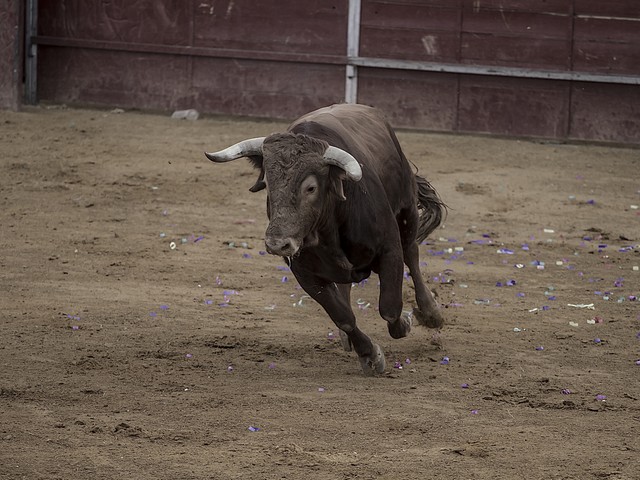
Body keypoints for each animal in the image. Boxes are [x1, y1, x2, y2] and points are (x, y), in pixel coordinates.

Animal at [205, 104, 444, 376]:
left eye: (310, 188)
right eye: (267, 184)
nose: (277, 244)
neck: (330, 224)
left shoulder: (389, 249)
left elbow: (390, 308)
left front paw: (405, 322)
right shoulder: (305, 273)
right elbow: (343, 317)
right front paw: (369, 355)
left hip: (407, 210)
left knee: (412, 253)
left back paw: (431, 312)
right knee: (346, 285)